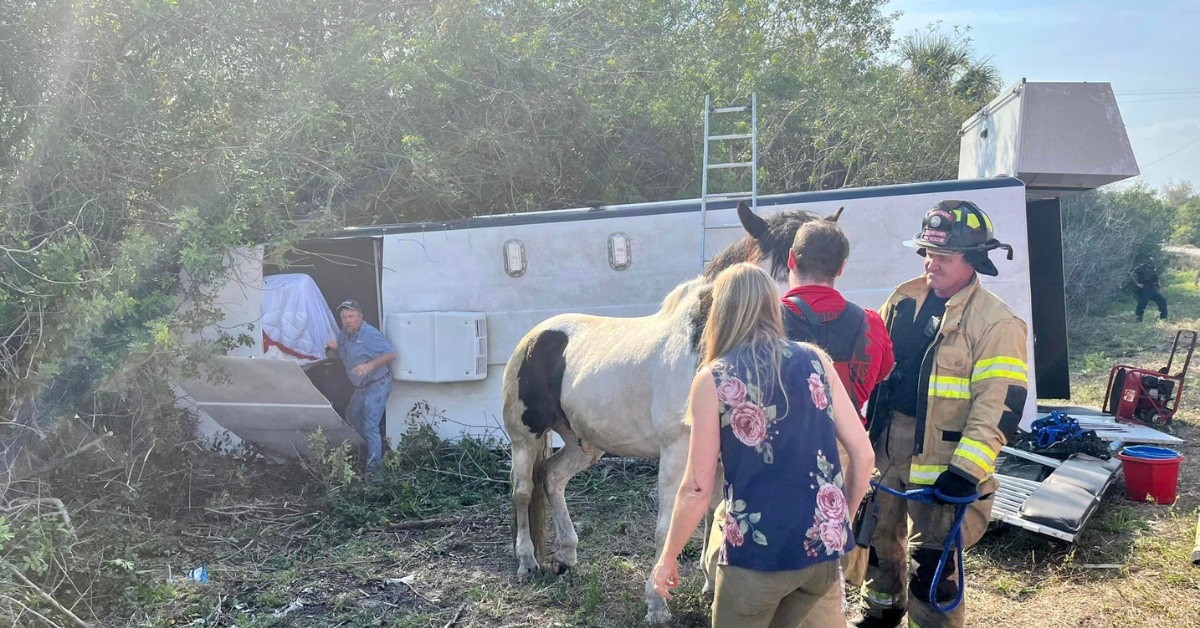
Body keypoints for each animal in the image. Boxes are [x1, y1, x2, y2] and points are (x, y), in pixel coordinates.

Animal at [503, 201, 842, 623]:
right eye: (786, 283)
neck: (701, 350)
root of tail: (535, 337)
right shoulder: (677, 452)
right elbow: (667, 528)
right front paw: (657, 603)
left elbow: (716, 517)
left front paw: (712, 584)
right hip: (525, 438)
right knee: (522, 490)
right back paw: (527, 562)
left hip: (584, 444)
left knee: (552, 478)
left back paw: (567, 555)